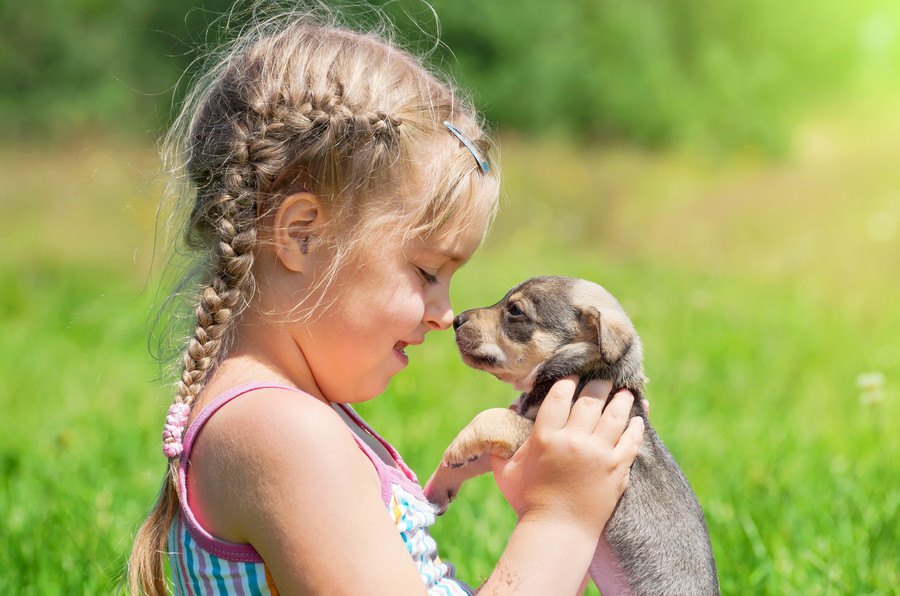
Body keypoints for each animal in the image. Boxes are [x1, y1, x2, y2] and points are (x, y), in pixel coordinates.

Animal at [426, 276, 720, 596]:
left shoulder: (536, 432)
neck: (584, 372)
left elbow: (491, 417)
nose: (456, 320)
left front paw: (456, 448)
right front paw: (437, 487)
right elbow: (474, 458)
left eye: (515, 310)